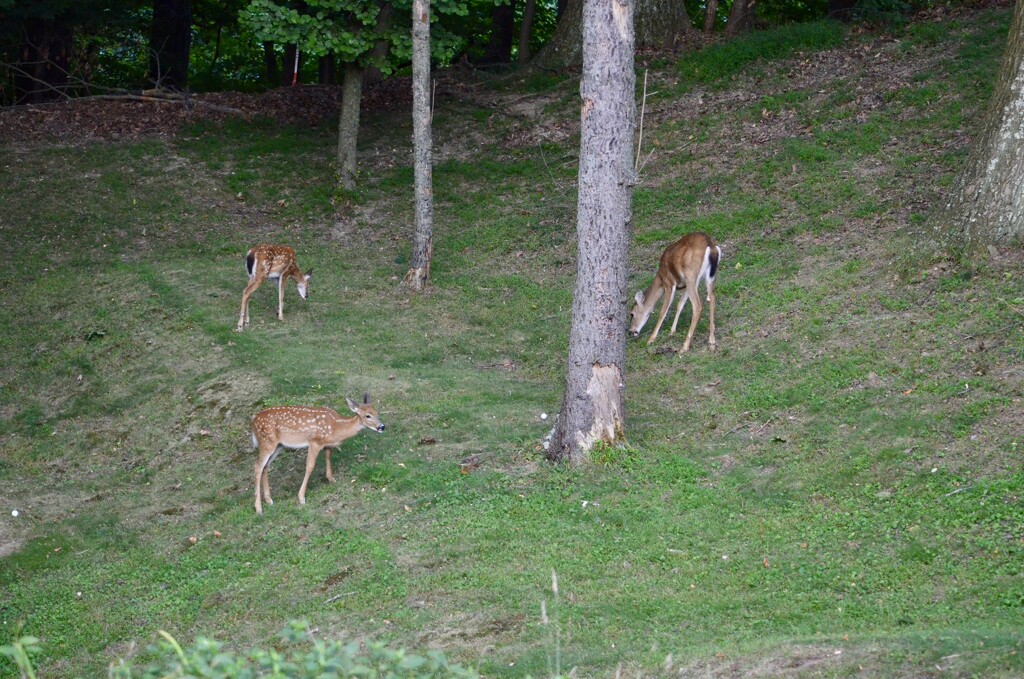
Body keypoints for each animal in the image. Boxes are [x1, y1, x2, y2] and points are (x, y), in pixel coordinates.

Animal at [249, 393, 385, 516]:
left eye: (377, 413)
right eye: (368, 416)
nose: (382, 426)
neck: (336, 428)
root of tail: (253, 421)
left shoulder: (326, 444)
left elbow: (328, 456)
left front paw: (331, 479)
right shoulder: (314, 442)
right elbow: (310, 466)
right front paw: (301, 497)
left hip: (278, 445)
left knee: (265, 467)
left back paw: (269, 500)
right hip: (267, 442)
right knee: (257, 466)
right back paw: (258, 508)